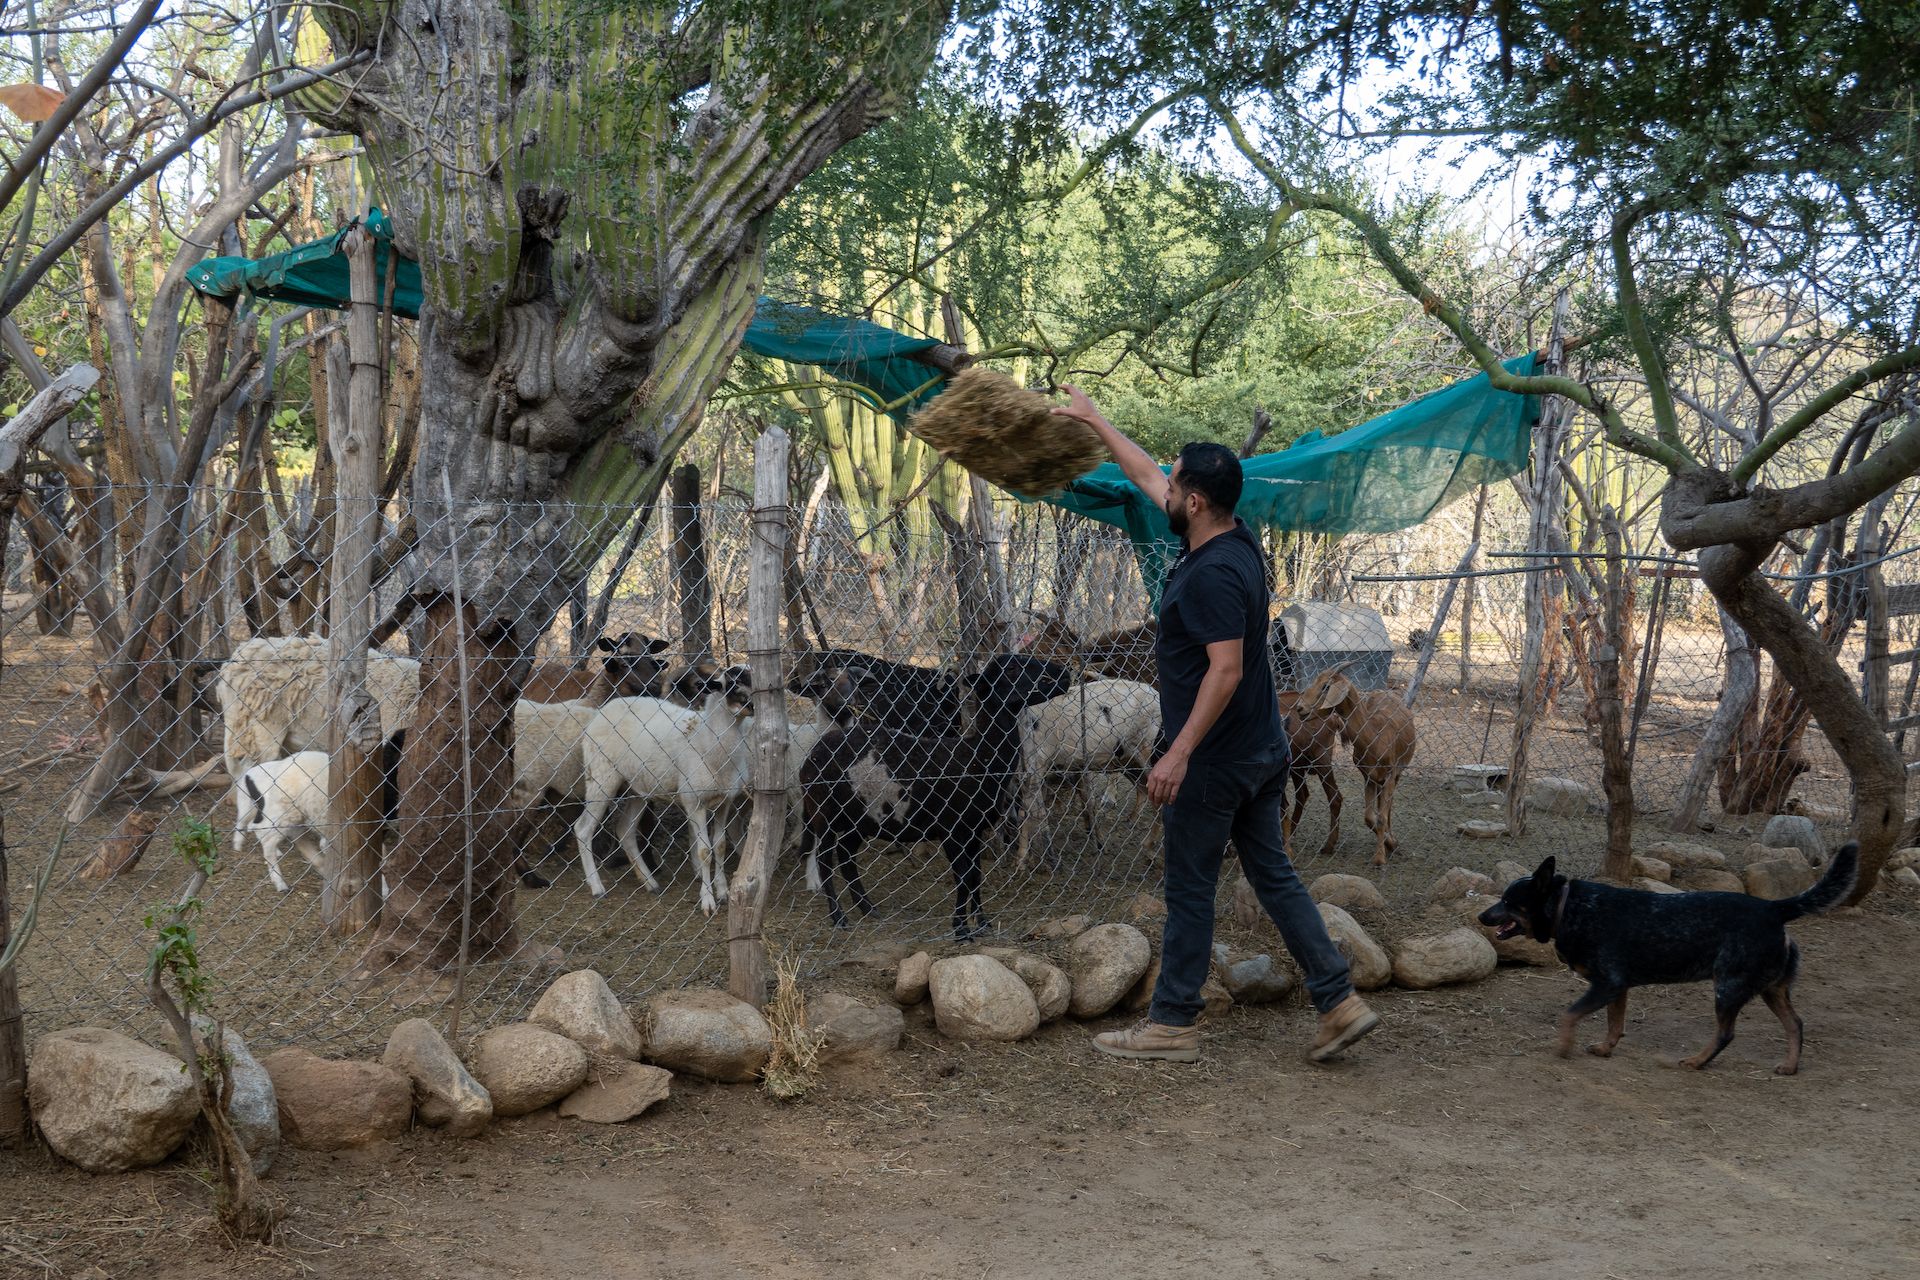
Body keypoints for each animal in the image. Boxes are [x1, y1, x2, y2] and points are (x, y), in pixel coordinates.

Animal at [568, 671, 748, 909]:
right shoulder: (694, 801)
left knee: (624, 829)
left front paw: (724, 893)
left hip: (637, 788)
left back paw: (650, 883)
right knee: (583, 828)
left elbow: (719, 846)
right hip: (601, 777)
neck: (709, 737)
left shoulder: (724, 801)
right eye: (734, 684)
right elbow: (704, 851)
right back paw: (597, 887)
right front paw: (708, 900)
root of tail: (600, 713)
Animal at [794, 652, 1075, 940]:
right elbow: (963, 877)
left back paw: (868, 909)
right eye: (1012, 669)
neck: (977, 757)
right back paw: (838, 916)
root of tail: (814, 752)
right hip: (824, 813)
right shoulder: (951, 830)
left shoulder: (973, 830)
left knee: (846, 856)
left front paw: (982, 923)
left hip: (860, 819)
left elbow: (975, 875)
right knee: (825, 860)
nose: (1064, 673)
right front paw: (961, 928)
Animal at [1013, 679, 1159, 871]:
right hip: (1128, 759)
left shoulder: (1037, 764)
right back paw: (1131, 823)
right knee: (1143, 789)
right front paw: (1023, 859)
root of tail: (1155, 693)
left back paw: (1149, 850)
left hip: (1147, 753)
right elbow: (1027, 810)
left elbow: (1034, 811)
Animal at [1290, 667, 1413, 867]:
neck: (1374, 735)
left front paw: (1381, 857)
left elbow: (1381, 817)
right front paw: (1388, 844)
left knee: (1389, 806)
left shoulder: (1389, 775)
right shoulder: (1368, 777)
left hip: (1395, 775)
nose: (1300, 708)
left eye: (1326, 686)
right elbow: (1370, 817)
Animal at [1474, 844, 1850, 1074]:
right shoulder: (1618, 988)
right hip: (1771, 989)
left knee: (1726, 1034)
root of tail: (1774, 908)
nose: (1480, 915)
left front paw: (1564, 1047)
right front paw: (1606, 1048)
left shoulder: (1607, 984)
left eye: (1508, 901)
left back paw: (1697, 1061)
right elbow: (1615, 1024)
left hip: (1728, 987)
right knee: (1795, 1024)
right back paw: (1789, 1066)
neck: (1569, 908)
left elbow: (1569, 1015)